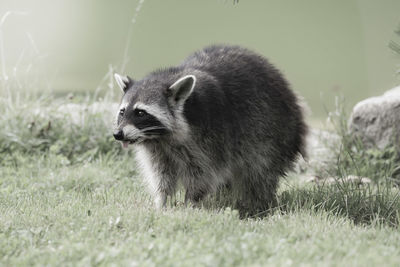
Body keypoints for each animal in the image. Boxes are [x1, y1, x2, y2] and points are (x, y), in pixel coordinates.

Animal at [114, 44, 308, 216]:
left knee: (259, 174)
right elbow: (162, 175)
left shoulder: (210, 138)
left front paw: (190, 203)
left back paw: (258, 205)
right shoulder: (158, 151)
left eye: (140, 113)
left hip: (274, 134)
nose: (117, 134)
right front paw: (162, 201)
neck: (160, 137)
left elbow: (202, 175)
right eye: (122, 112)